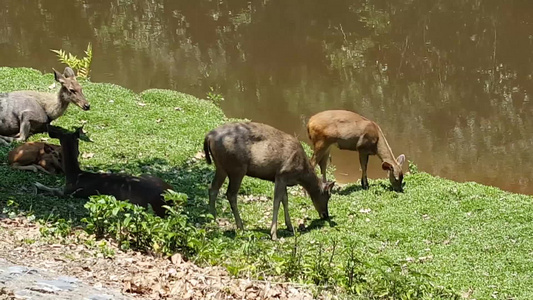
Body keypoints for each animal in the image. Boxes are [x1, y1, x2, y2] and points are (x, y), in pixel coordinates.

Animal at [203, 120, 332, 240]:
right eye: (327, 195)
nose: (325, 215)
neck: (301, 174)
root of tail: (208, 136)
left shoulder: (282, 179)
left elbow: (285, 200)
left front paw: (290, 226)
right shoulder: (282, 174)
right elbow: (276, 202)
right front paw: (274, 234)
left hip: (221, 166)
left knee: (213, 188)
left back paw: (213, 219)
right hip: (237, 168)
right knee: (230, 194)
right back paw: (240, 226)